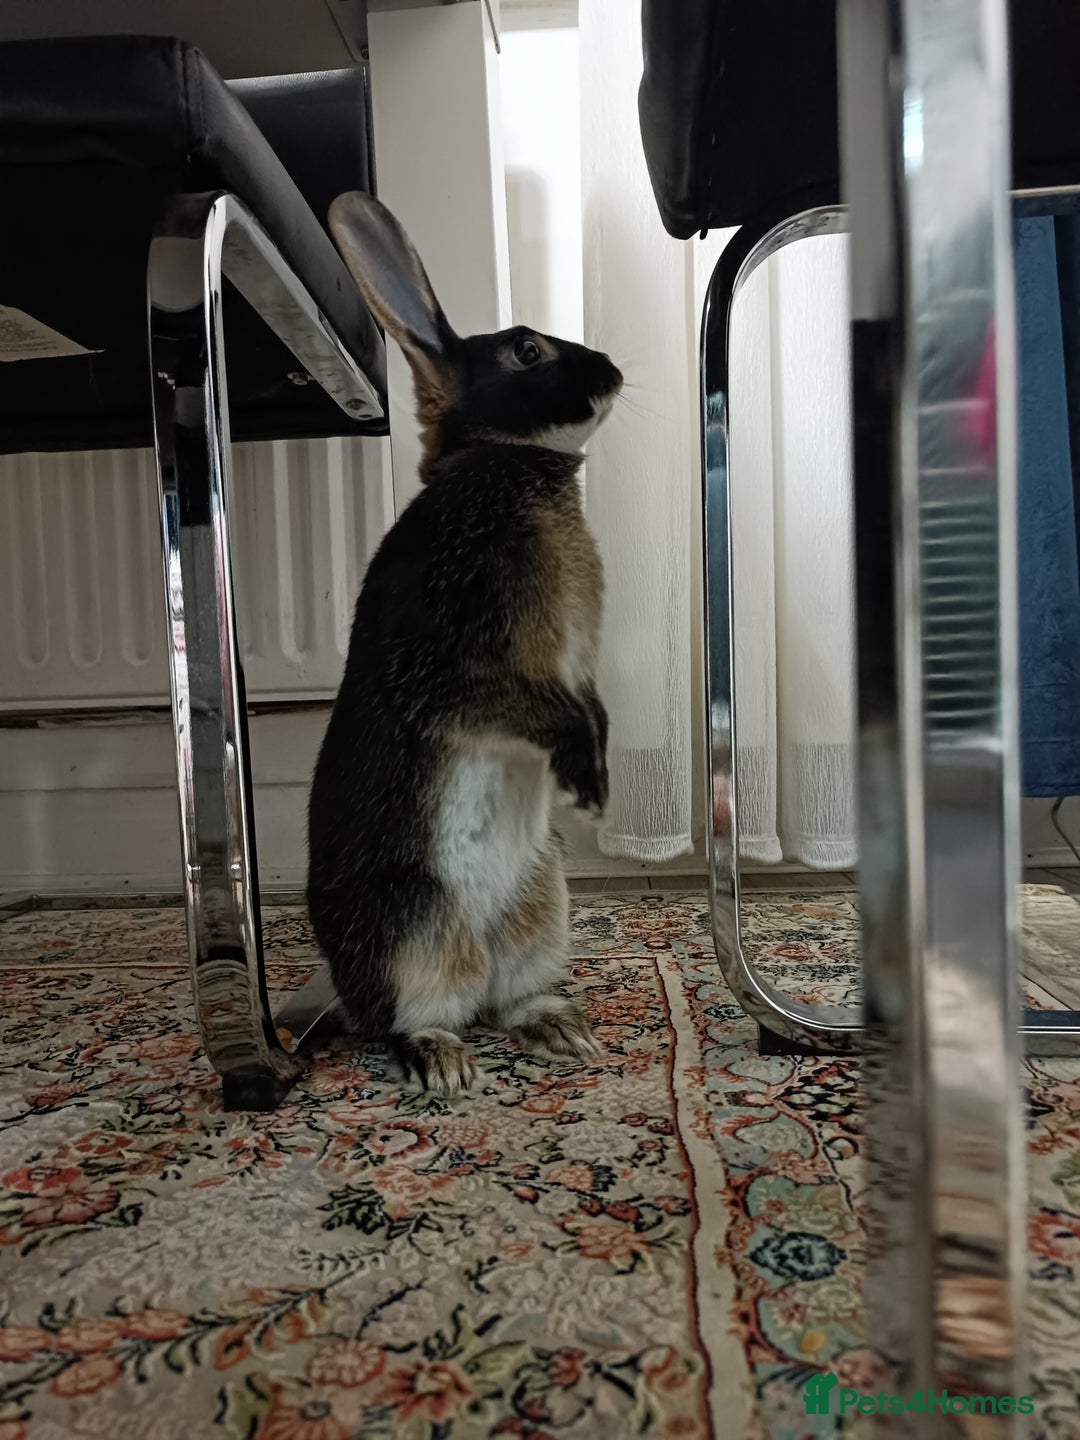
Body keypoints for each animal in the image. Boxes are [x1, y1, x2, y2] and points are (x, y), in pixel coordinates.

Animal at [306, 192, 622, 1099]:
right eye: (526, 351)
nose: (611, 369)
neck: (508, 464)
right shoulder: (458, 659)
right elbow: (528, 706)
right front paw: (586, 781)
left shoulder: (575, 668)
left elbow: (589, 705)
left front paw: (597, 773)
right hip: (412, 925)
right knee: (418, 1013)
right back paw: (443, 1062)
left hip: (542, 905)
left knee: (510, 1000)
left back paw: (560, 1030)